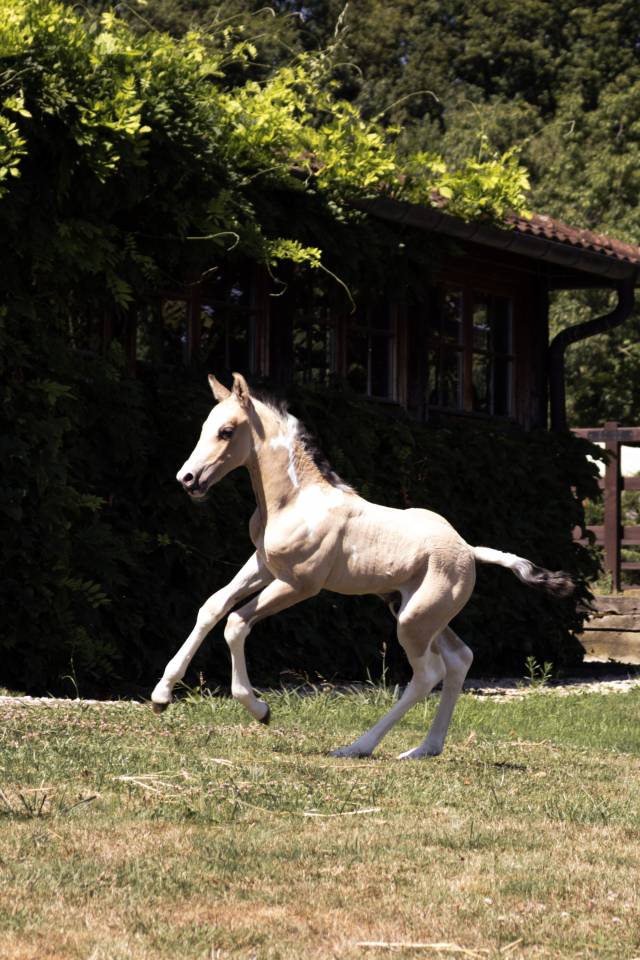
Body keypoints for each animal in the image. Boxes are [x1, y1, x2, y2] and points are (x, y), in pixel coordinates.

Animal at [151, 372, 573, 759]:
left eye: (226, 431)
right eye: (205, 427)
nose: (187, 478)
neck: (295, 500)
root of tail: (469, 550)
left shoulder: (298, 584)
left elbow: (236, 623)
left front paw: (260, 709)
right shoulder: (263, 565)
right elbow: (212, 608)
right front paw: (161, 695)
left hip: (414, 620)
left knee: (428, 674)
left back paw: (358, 747)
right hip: (416, 611)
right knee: (459, 659)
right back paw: (424, 749)